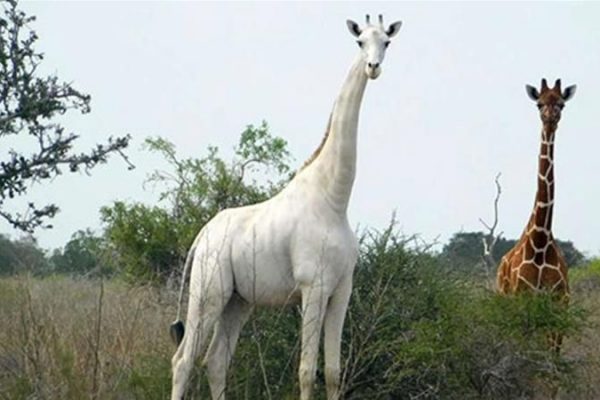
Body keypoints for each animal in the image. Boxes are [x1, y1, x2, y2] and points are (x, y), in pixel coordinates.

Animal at [170, 15, 404, 400]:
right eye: (360, 43)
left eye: (386, 42)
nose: (373, 68)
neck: (334, 199)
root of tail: (201, 236)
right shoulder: (313, 287)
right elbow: (307, 371)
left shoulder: (342, 290)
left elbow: (333, 372)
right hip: (208, 292)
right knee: (183, 361)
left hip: (238, 301)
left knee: (215, 361)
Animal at [496, 79, 576, 296]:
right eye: (539, 104)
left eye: (561, 104)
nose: (550, 119)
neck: (540, 242)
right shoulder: (522, 294)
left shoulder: (561, 297)